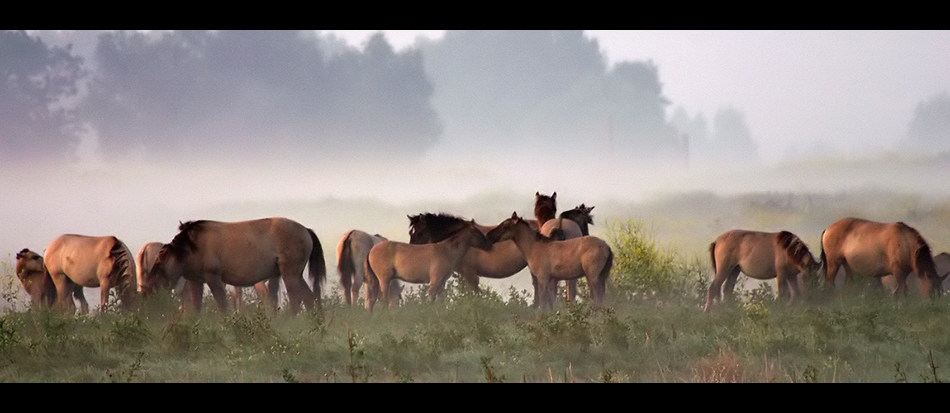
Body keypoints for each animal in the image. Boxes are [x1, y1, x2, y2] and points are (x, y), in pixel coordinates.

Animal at [150, 219, 328, 312]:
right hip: (296, 275)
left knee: (296, 300)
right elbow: (196, 307)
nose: (152, 293)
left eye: (158, 266)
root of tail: (305, 229)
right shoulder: (196, 281)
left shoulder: (213, 278)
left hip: (290, 274)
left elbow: (222, 304)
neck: (192, 246)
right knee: (309, 298)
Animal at [820, 217, 948, 298]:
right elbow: (902, 290)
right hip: (833, 263)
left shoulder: (904, 273)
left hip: (846, 264)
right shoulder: (897, 271)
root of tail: (828, 229)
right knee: (829, 283)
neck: (906, 243)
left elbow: (898, 291)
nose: (931, 306)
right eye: (930, 291)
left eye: (940, 292)